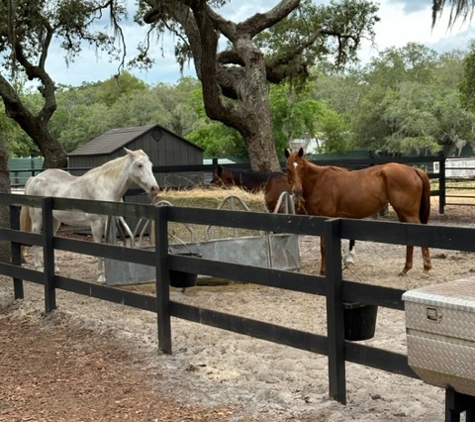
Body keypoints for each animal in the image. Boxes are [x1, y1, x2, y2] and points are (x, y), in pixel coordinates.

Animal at [21, 148, 160, 284]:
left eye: (150, 165)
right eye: (139, 165)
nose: (155, 189)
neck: (105, 187)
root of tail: (35, 178)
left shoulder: (111, 224)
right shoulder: (96, 224)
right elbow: (99, 247)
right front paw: (101, 276)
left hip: (54, 221)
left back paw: (55, 268)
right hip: (37, 219)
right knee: (35, 238)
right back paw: (38, 267)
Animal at [284, 148, 434, 276]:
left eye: (302, 167)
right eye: (288, 167)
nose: (297, 190)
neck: (319, 181)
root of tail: (413, 169)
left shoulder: (327, 217)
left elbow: (324, 247)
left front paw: (324, 272)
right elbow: (322, 247)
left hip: (409, 214)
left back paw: (426, 269)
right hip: (402, 214)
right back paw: (406, 268)